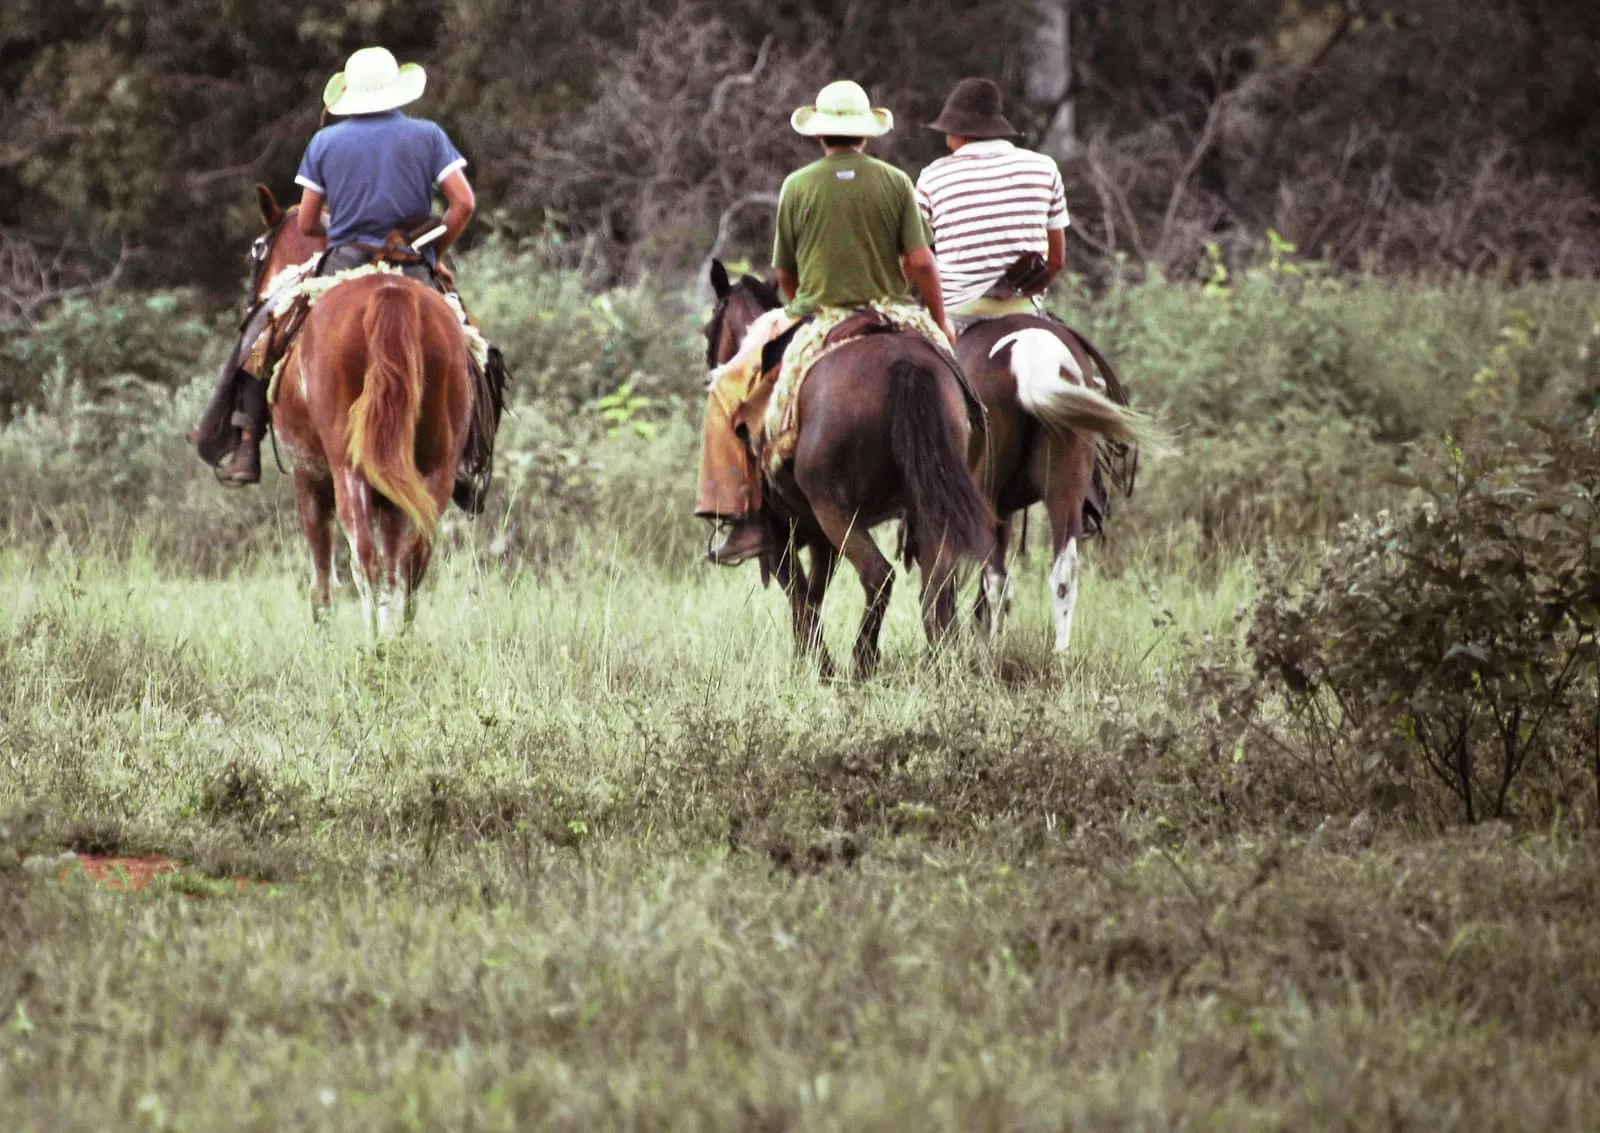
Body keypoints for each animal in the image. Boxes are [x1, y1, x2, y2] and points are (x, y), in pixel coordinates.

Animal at [249, 181, 470, 633]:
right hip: (435, 464)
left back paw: (374, 641)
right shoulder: (393, 490)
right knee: (414, 556)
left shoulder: (310, 477)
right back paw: (399, 637)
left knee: (364, 557)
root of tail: (389, 293)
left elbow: (322, 578)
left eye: (257, 250)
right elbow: (393, 564)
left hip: (345, 469)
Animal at [710, 260, 992, 678]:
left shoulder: (783, 535)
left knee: (879, 575)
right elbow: (812, 596)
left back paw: (863, 661)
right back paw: (940, 658)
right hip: (923, 504)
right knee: (938, 579)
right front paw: (813, 660)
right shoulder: (819, 539)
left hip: (837, 512)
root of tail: (903, 363)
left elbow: (799, 595)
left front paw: (817, 665)